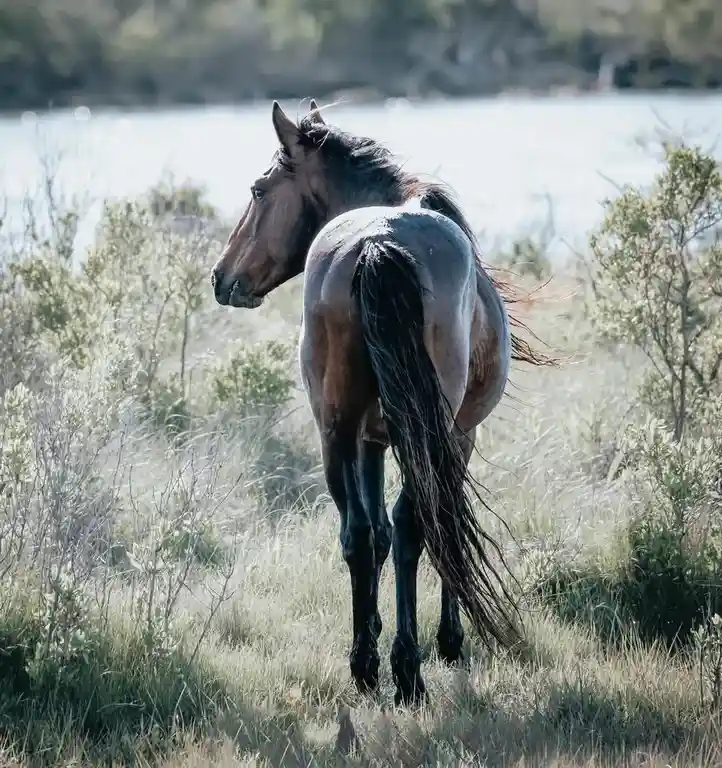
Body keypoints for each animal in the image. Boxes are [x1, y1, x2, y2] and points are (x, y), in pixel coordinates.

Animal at [211, 100, 555, 705]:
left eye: (257, 190)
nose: (220, 276)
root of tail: (377, 243)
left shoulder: (370, 438)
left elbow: (377, 536)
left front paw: (374, 630)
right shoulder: (456, 436)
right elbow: (436, 524)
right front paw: (448, 639)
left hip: (335, 428)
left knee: (357, 533)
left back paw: (366, 665)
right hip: (423, 432)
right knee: (415, 524)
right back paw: (408, 669)